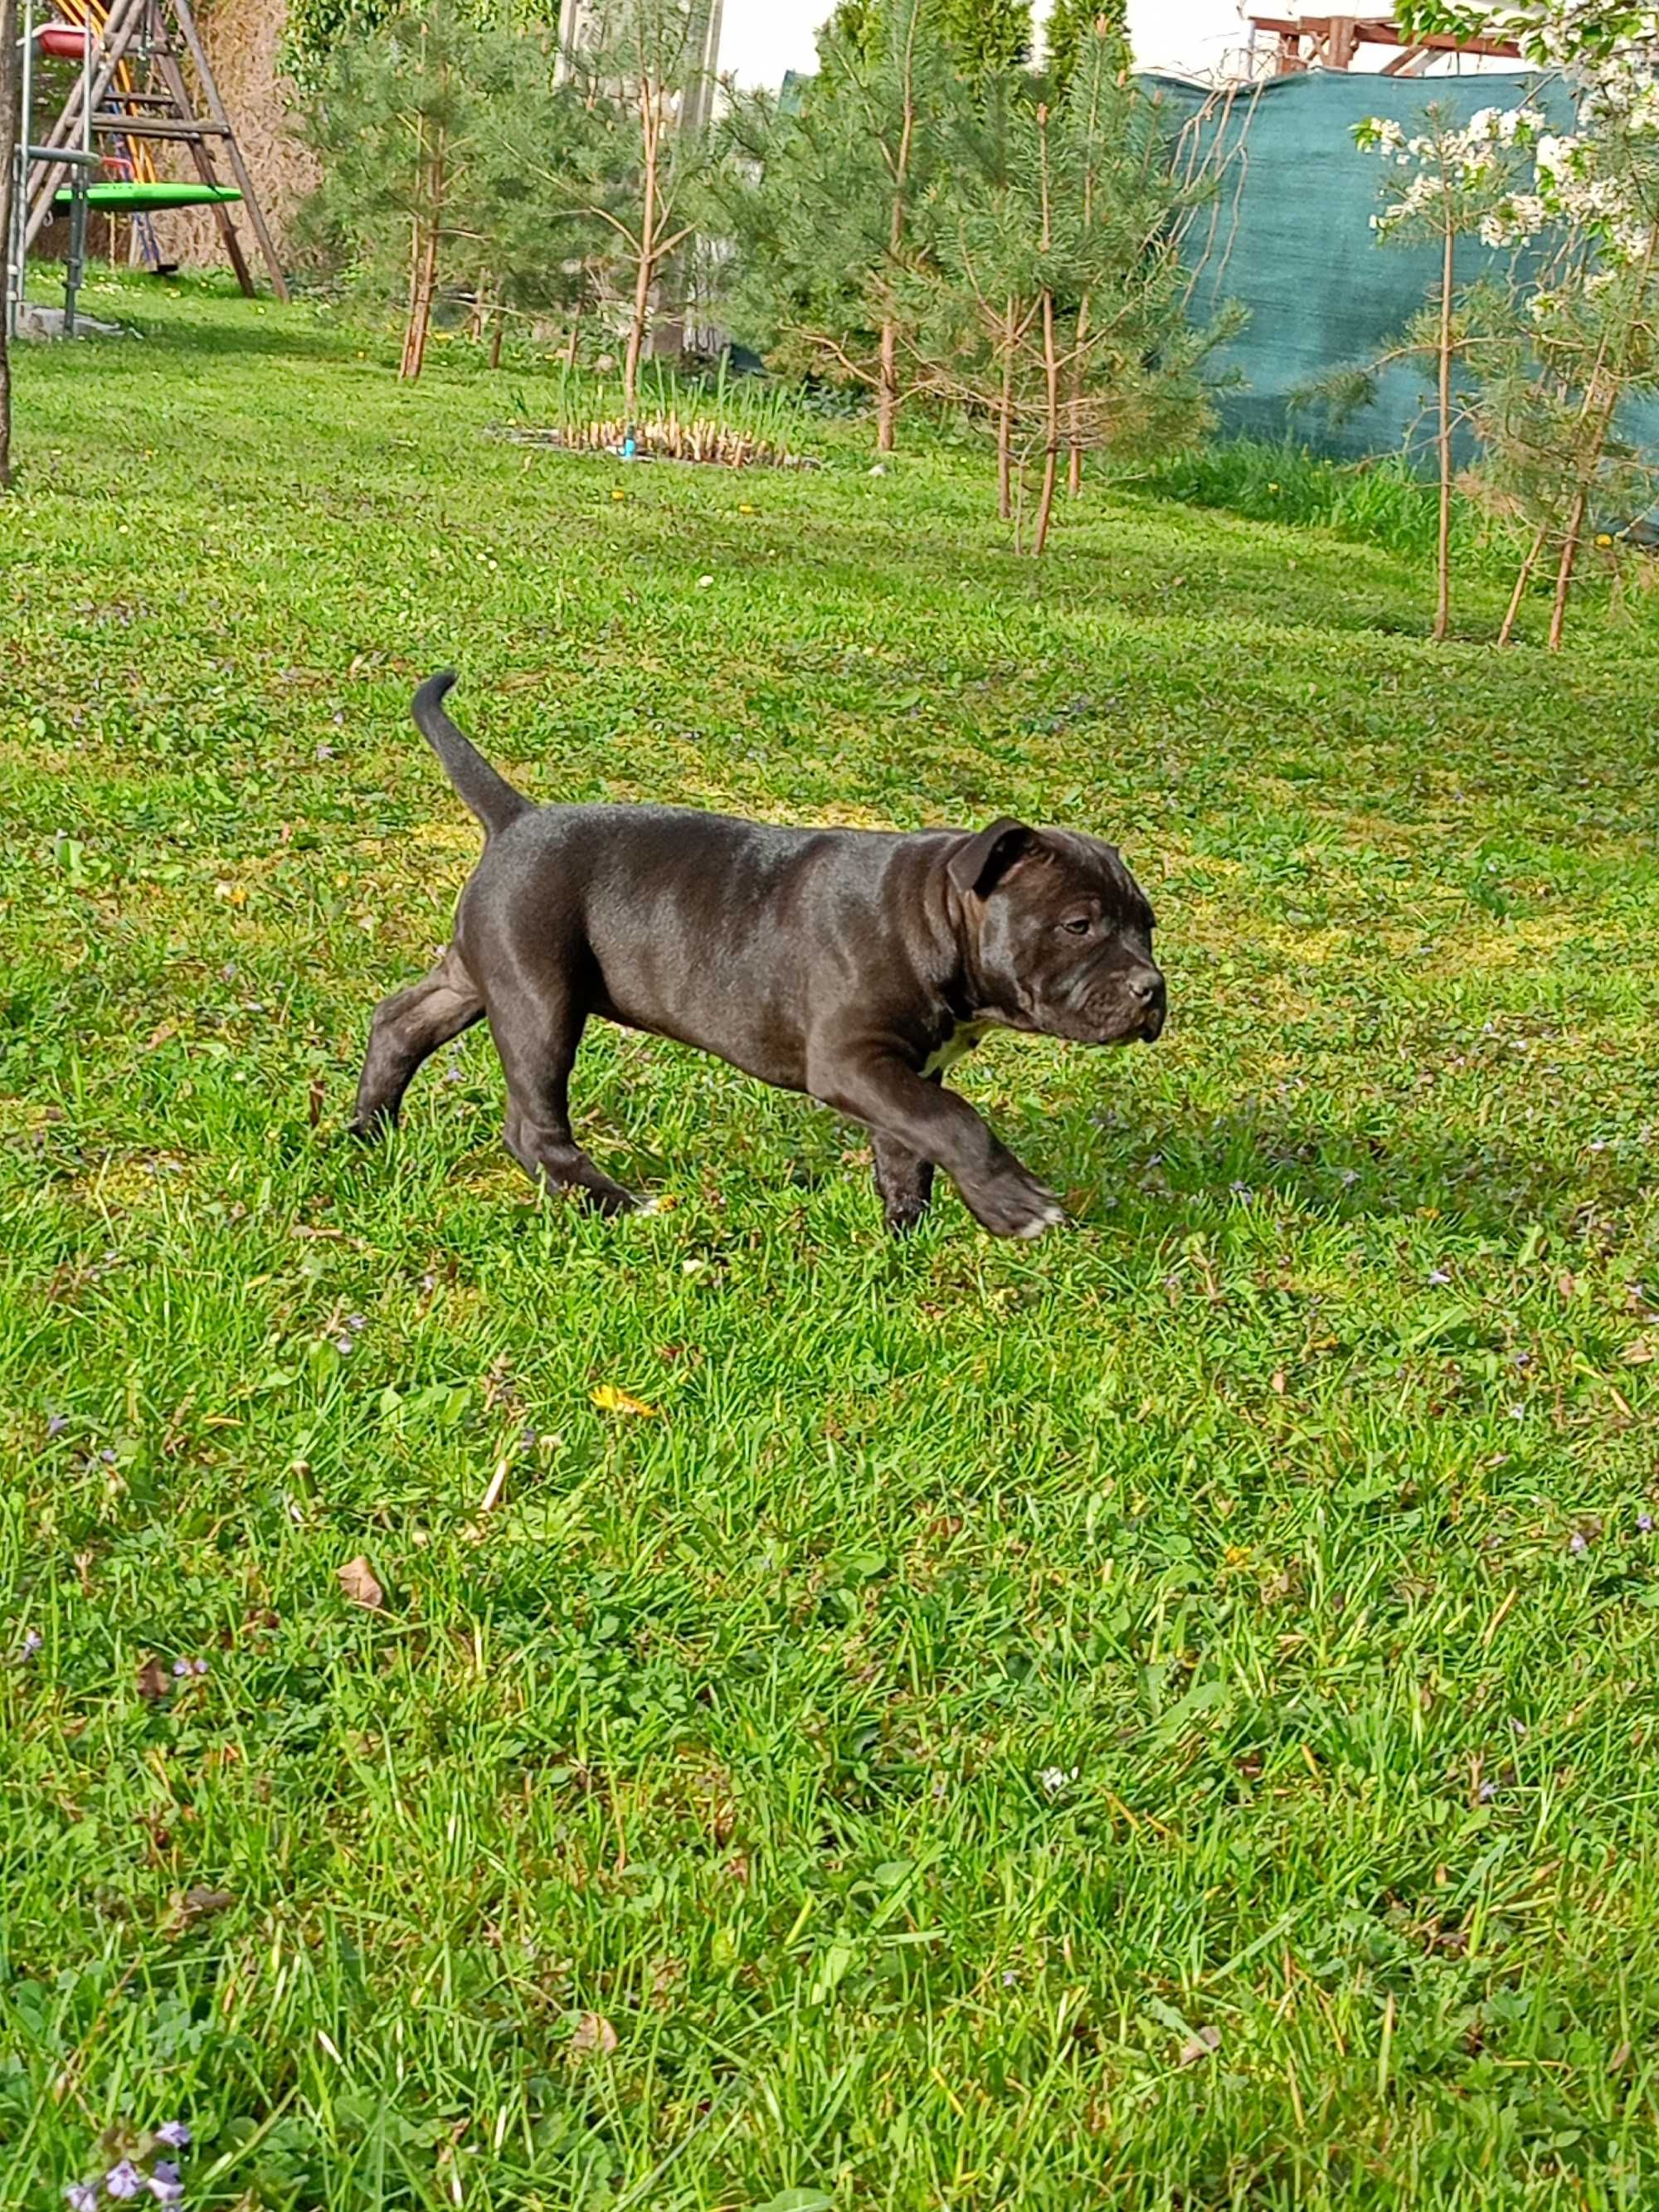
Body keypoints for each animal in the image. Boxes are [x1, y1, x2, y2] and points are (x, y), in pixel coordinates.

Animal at [358, 664, 1168, 1238]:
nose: (1151, 988)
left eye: (1149, 927)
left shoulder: (900, 1073)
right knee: (532, 1124)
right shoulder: (852, 1059)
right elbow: (954, 1119)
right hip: (539, 997)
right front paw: (1015, 1204)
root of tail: (517, 819)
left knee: (400, 1020)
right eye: (1079, 925)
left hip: (478, 970)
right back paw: (610, 1202)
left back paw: (369, 1130)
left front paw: (906, 1235)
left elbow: (913, 1141)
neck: (932, 915)